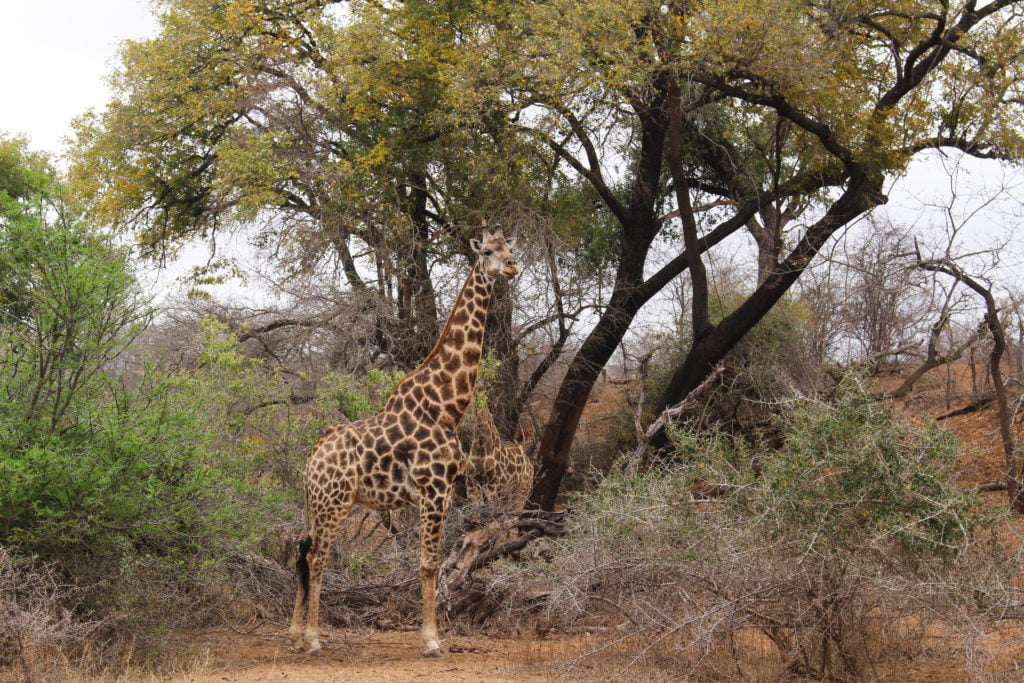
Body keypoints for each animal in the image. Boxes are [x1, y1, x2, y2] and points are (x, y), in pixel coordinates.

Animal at [288, 228, 518, 658]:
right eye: (487, 251)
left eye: (509, 249)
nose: (512, 267)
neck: (446, 404)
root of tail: (311, 458)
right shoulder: (434, 490)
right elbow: (429, 564)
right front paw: (432, 640)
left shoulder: (441, 493)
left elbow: (432, 562)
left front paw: (431, 636)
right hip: (334, 502)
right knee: (318, 557)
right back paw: (312, 639)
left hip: (318, 504)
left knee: (302, 551)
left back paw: (294, 634)